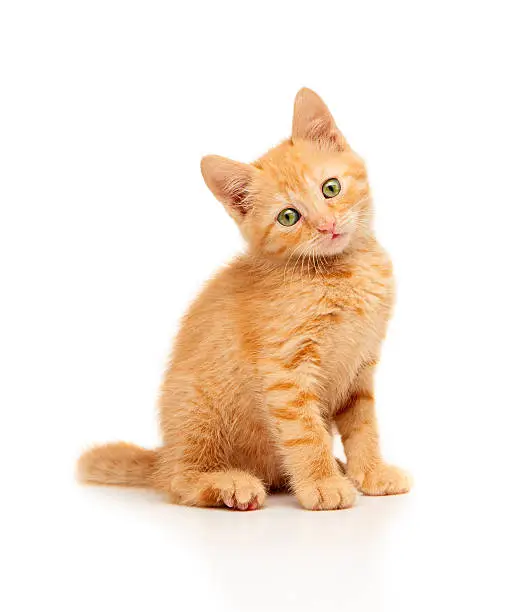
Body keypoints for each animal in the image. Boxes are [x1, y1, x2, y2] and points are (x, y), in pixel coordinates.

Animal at [78, 88, 410, 512]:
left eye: (331, 188)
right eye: (288, 217)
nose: (327, 226)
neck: (339, 272)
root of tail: (164, 454)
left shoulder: (360, 369)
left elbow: (363, 426)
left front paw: (371, 472)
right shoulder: (285, 370)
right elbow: (306, 433)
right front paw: (322, 483)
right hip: (198, 413)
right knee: (178, 481)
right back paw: (230, 485)